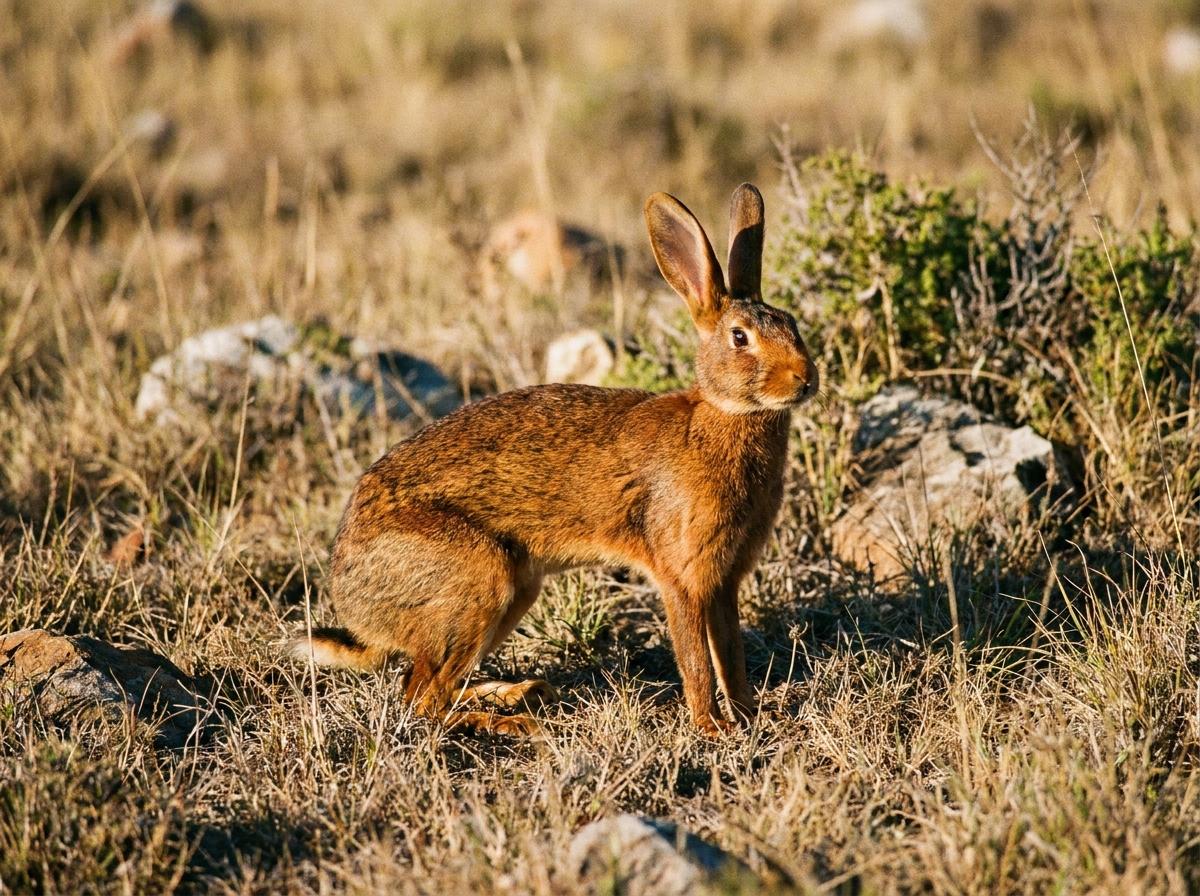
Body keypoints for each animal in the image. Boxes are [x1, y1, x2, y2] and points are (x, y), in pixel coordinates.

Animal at [289, 183, 818, 736]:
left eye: (792, 324)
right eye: (740, 337)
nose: (806, 379)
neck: (722, 414)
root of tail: (352, 599)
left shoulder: (725, 580)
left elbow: (731, 654)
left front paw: (749, 714)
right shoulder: (683, 578)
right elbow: (696, 659)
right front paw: (711, 727)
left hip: (515, 590)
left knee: (432, 689)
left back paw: (520, 693)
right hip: (478, 581)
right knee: (422, 700)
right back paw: (512, 720)